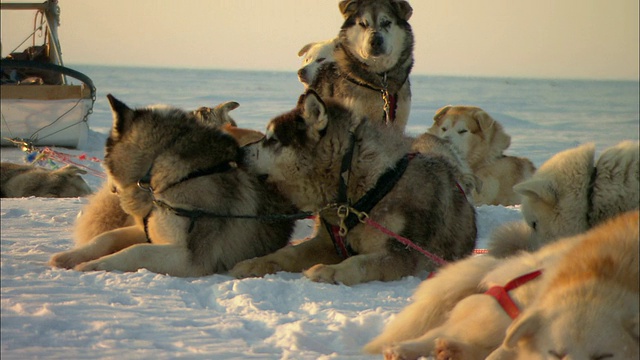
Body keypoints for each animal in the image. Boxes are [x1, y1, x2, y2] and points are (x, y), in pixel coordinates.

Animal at [49, 94, 296, 278]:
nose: (110, 187)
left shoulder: (189, 258)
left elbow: (137, 251)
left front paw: (95, 265)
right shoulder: (149, 231)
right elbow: (107, 237)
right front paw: (72, 255)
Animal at [230, 91, 476, 286]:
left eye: (272, 139)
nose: (239, 152)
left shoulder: (402, 253)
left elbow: (360, 262)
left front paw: (331, 271)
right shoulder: (328, 243)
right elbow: (287, 252)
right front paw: (256, 263)